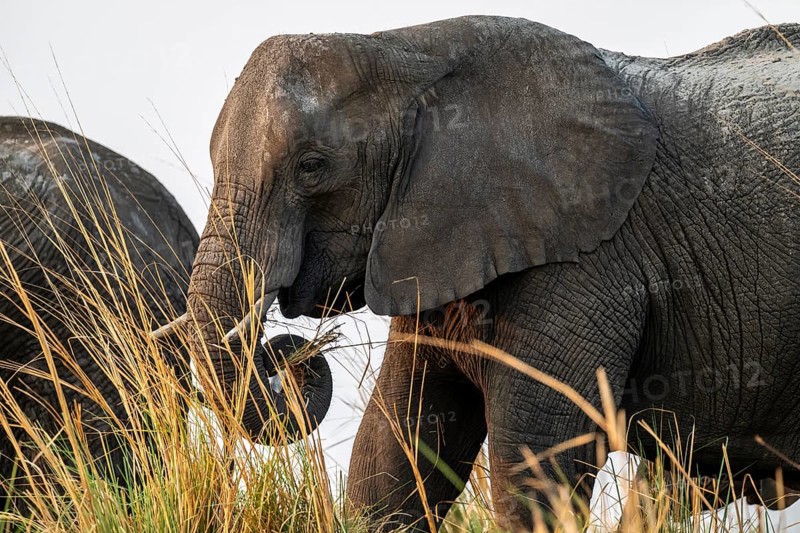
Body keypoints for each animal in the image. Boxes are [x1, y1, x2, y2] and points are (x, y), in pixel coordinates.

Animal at [171, 16, 800, 530]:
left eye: (311, 166)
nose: (291, 355)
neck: (406, 51)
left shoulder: (587, 261)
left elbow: (534, 463)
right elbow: (393, 452)